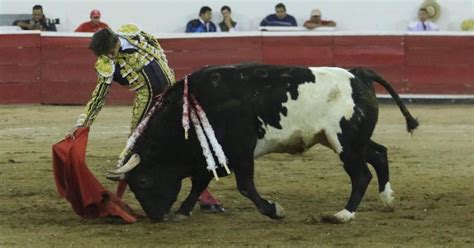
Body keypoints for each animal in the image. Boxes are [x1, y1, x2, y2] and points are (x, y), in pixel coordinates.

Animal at [127, 63, 418, 224]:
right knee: (379, 153)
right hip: (347, 141)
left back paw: (342, 215)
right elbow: (199, 183)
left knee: (361, 175)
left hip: (346, 143)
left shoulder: (240, 151)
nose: (156, 217)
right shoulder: (212, 154)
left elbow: (245, 186)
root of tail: (358, 75)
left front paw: (274, 210)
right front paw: (183, 211)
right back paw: (387, 200)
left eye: (143, 180)